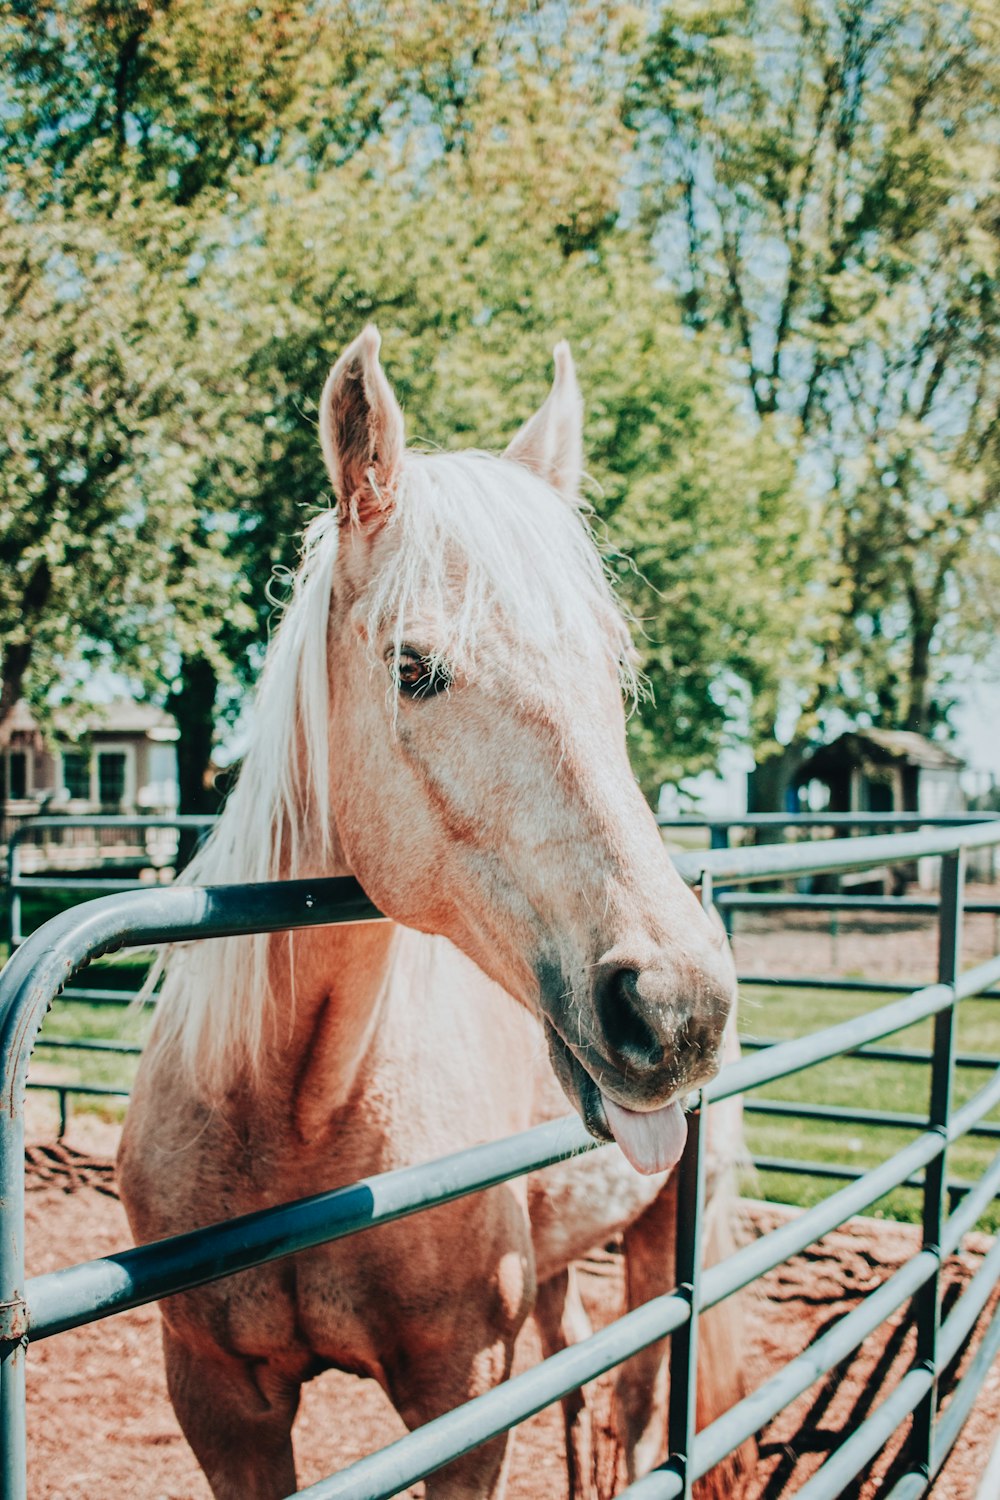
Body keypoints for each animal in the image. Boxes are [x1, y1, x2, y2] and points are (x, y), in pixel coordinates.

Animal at [117, 331, 746, 1500]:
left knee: (639, 1401)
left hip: (663, 1233)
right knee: (578, 1369)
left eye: (610, 671)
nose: (678, 1009)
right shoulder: (221, 1406)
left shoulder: (462, 1400)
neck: (293, 1116)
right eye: (413, 667)